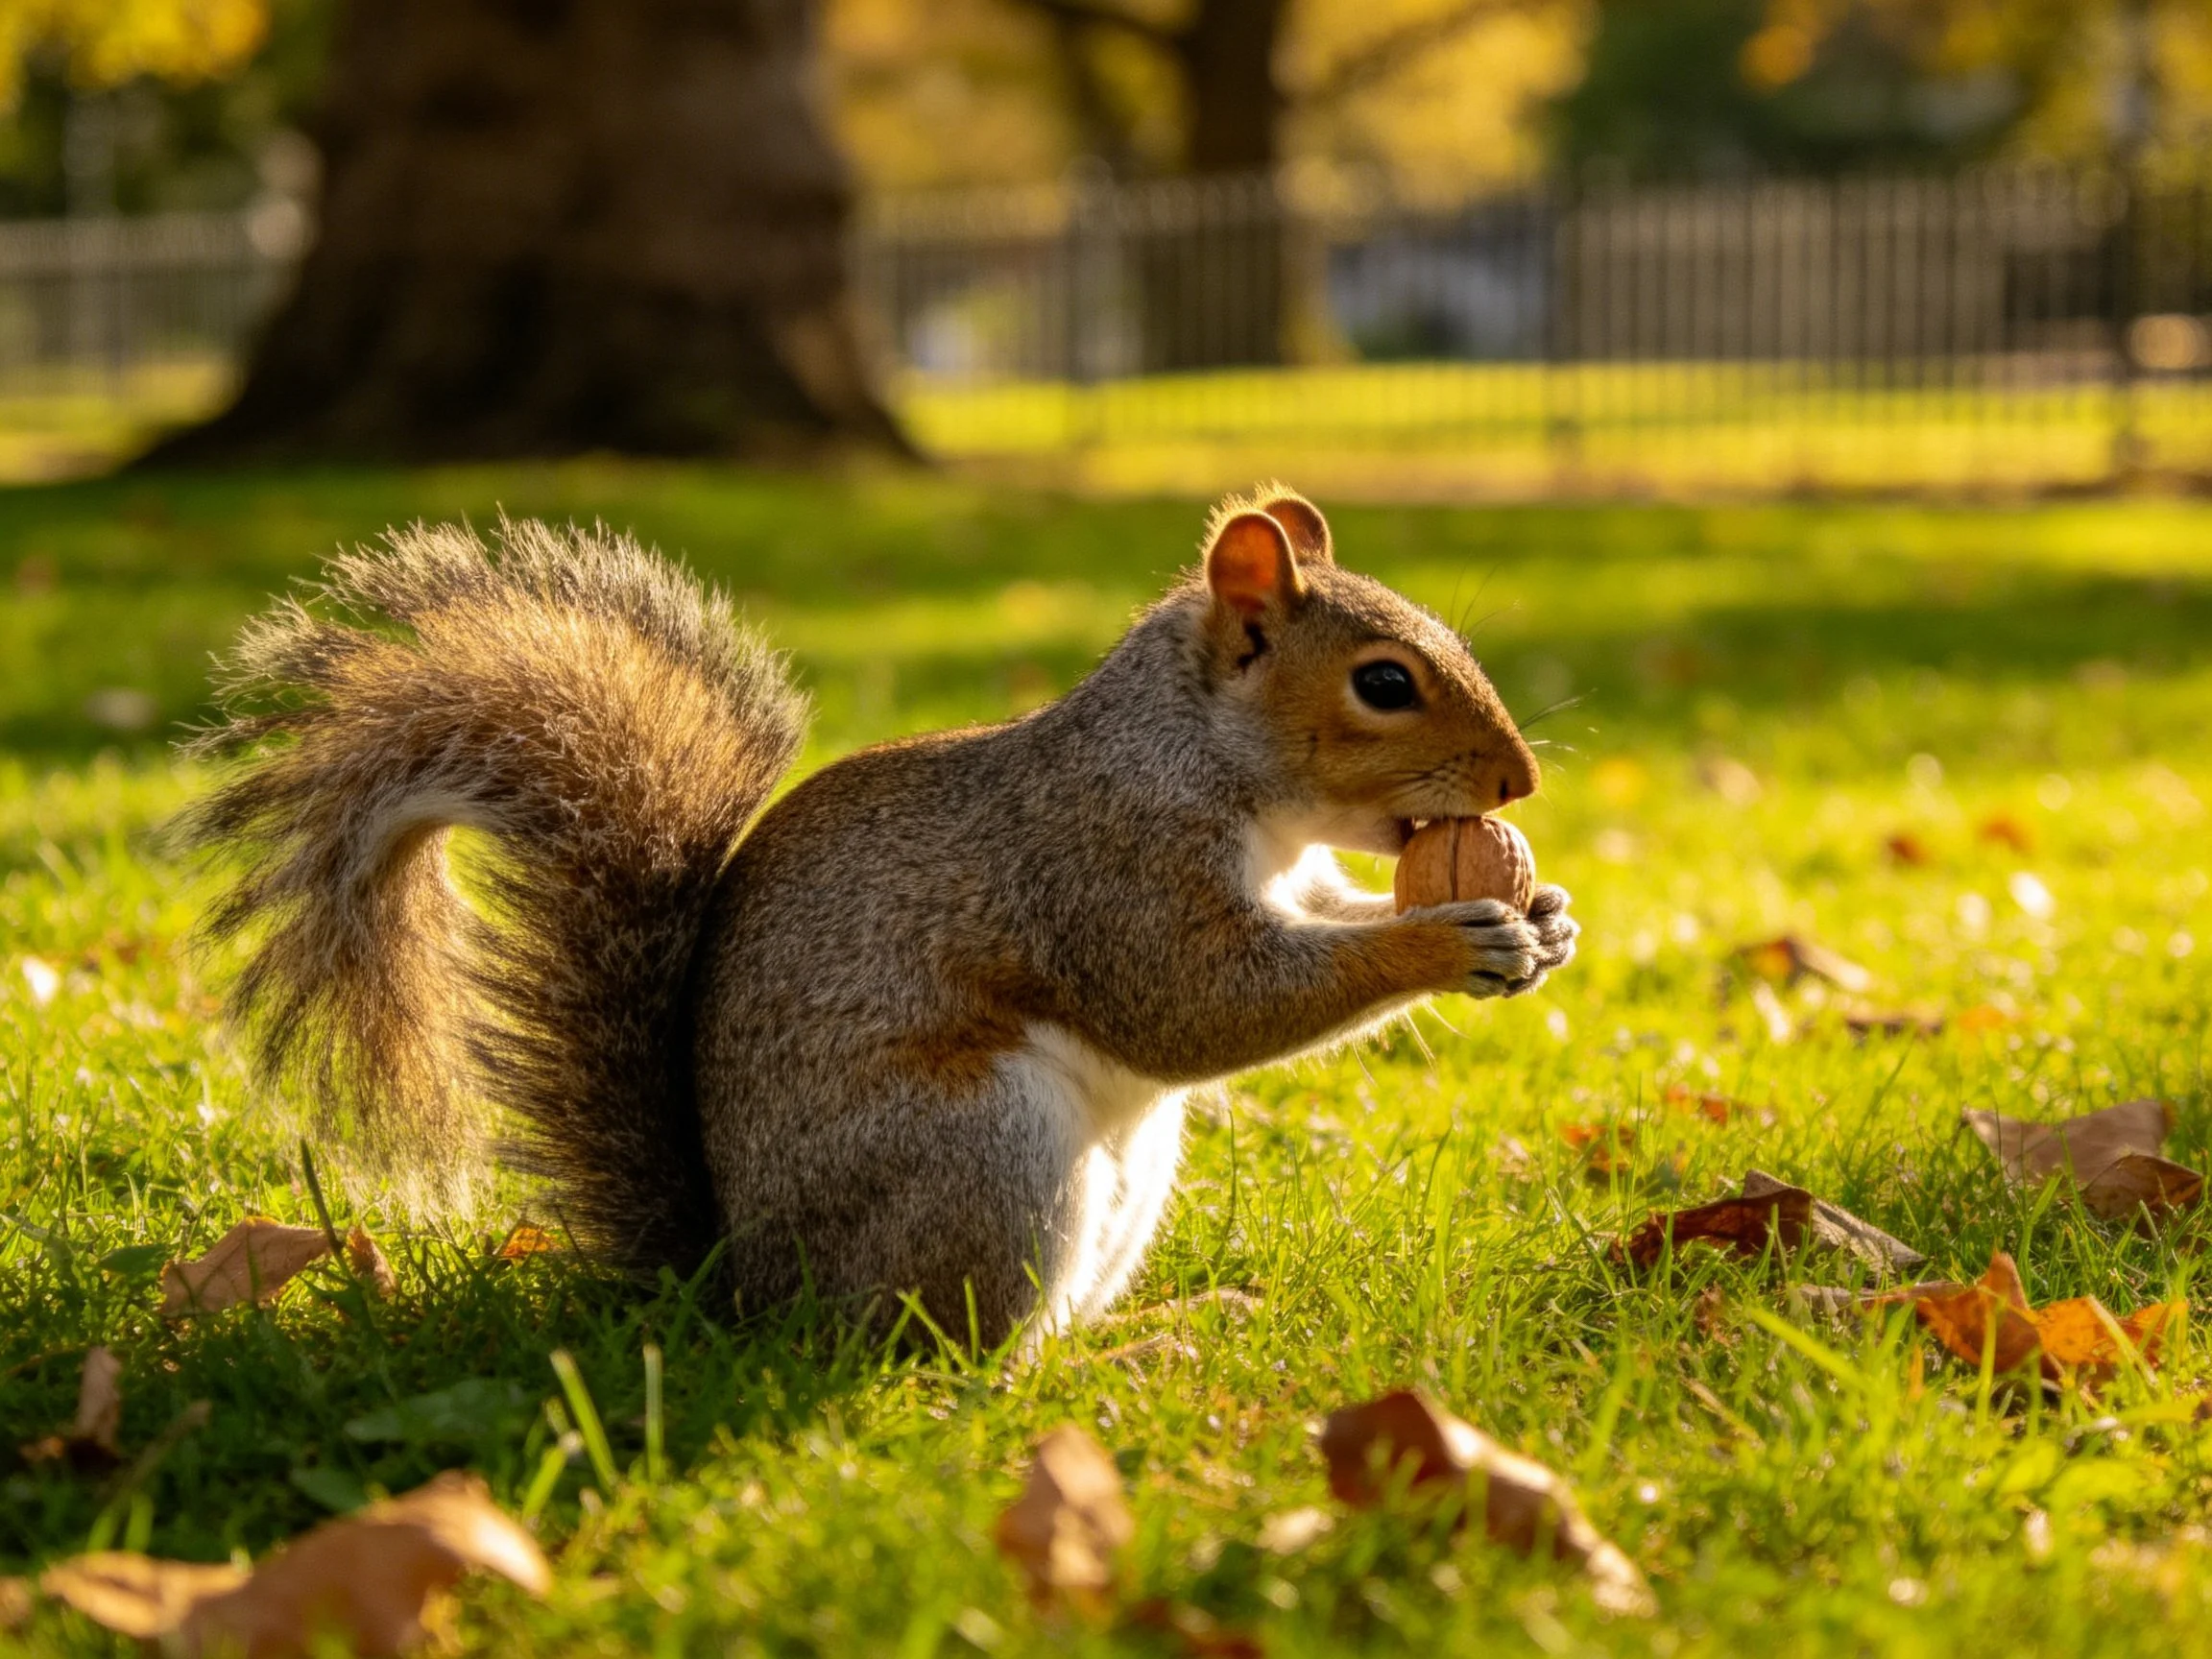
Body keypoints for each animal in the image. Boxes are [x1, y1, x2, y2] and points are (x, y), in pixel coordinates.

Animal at [183, 488, 1577, 1346]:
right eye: (1383, 683)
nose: (1521, 785)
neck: (1215, 763)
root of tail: (747, 1295)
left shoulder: (1291, 878)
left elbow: (1320, 916)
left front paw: (1545, 915)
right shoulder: (1104, 862)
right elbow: (1195, 1006)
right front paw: (1448, 939)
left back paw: (1168, 1322)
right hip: (981, 1157)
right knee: (963, 1365)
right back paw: (1104, 1361)